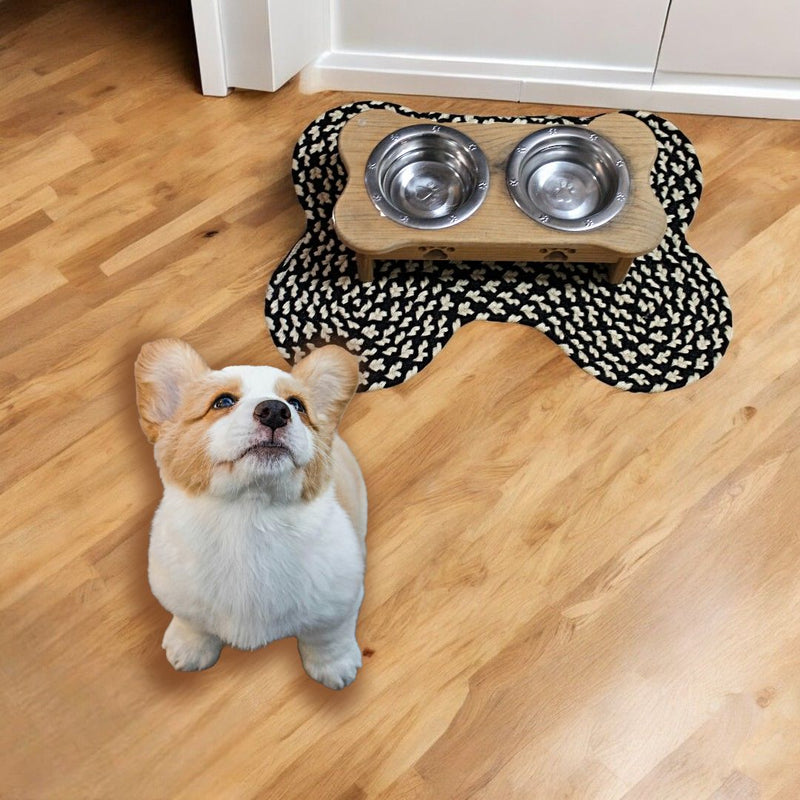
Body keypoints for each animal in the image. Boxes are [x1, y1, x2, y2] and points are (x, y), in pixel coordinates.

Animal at [134, 338, 366, 688]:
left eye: (297, 405)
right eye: (222, 401)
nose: (275, 411)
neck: (250, 516)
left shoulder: (339, 602)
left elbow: (328, 637)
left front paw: (334, 667)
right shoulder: (181, 595)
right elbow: (193, 623)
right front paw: (189, 648)